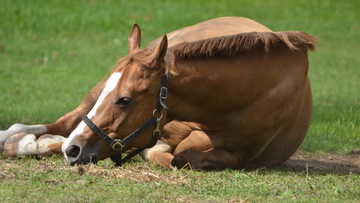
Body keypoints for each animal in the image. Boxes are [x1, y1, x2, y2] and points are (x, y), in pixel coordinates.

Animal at [0, 17, 316, 170]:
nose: (73, 150)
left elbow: (180, 157)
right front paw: (33, 143)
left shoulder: (239, 155)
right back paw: (20, 139)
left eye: (125, 100)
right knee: (61, 124)